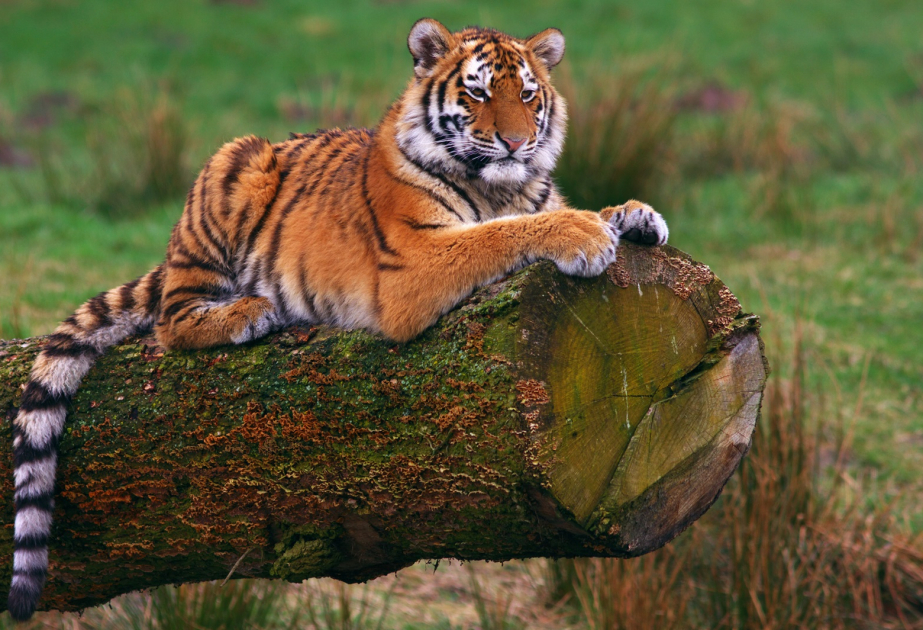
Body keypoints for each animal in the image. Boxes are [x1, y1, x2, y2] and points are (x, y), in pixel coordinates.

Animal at [7, 18, 669, 620]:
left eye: (529, 95)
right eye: (479, 93)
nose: (513, 143)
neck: (501, 187)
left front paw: (635, 215)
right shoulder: (411, 265)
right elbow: (499, 234)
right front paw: (583, 233)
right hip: (238, 160)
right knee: (172, 321)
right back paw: (249, 312)